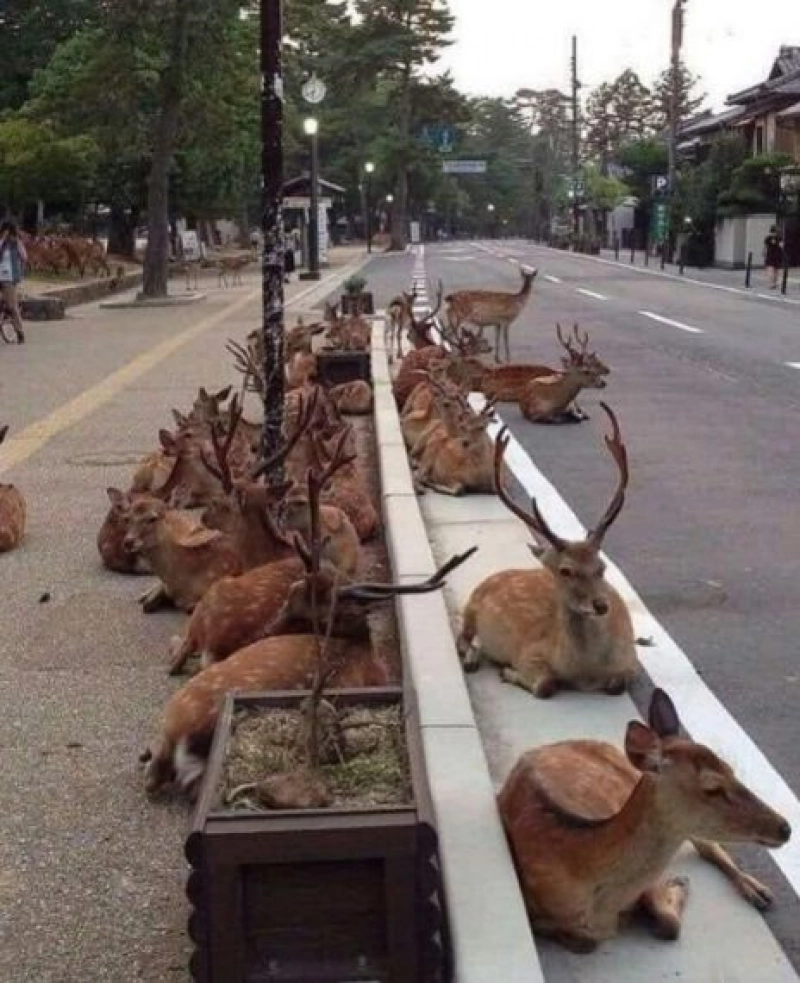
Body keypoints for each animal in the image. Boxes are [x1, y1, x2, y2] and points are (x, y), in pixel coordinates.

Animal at [456, 404, 636, 696]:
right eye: (565, 570)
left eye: (602, 567)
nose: (600, 605)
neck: (586, 673)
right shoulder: (529, 652)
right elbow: (546, 685)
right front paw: (508, 672)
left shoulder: (631, 660)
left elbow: (617, 685)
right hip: (471, 606)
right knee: (463, 638)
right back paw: (472, 659)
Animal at [496, 688, 792, 956]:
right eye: (712, 787)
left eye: (731, 770)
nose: (786, 828)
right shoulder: (538, 915)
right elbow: (587, 943)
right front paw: (676, 885)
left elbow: (669, 925)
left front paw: (678, 884)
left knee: (705, 845)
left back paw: (757, 890)